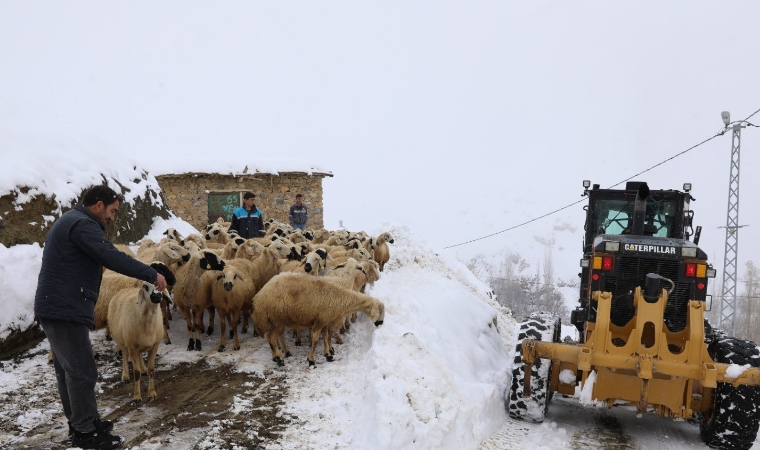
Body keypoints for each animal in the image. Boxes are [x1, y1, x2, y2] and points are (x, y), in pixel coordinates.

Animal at [252, 274, 386, 366]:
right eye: (380, 310)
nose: (381, 323)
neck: (341, 299)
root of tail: (258, 297)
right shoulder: (320, 322)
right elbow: (316, 340)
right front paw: (311, 360)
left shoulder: (325, 322)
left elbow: (326, 338)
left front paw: (328, 355)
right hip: (276, 318)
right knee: (271, 337)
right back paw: (279, 358)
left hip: (280, 320)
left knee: (277, 336)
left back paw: (283, 353)